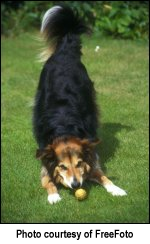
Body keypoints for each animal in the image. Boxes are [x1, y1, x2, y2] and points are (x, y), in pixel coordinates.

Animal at [32, 5, 126, 204]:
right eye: (62, 166)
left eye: (79, 163)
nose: (76, 185)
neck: (64, 130)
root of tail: (64, 51)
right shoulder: (45, 159)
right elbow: (47, 178)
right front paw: (53, 195)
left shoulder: (90, 156)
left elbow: (102, 175)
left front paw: (116, 189)